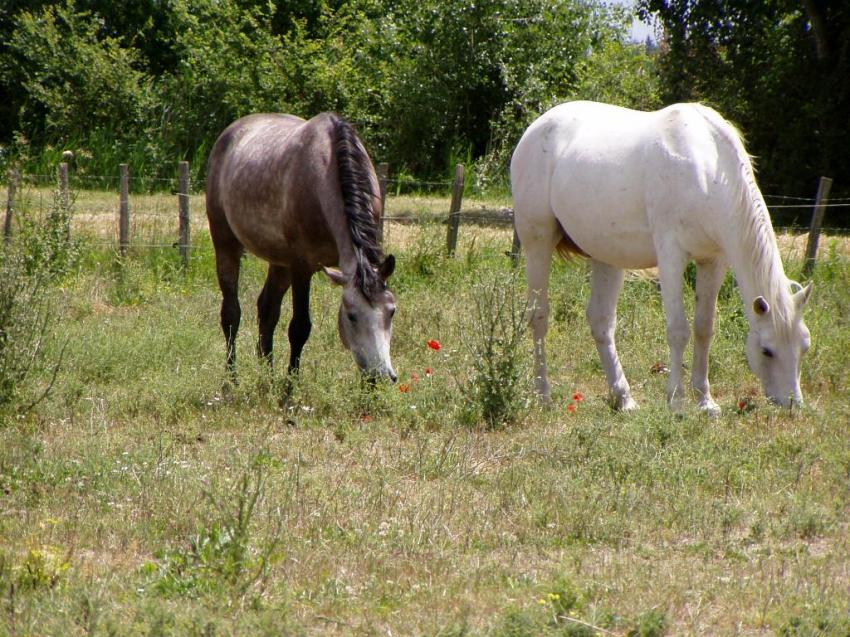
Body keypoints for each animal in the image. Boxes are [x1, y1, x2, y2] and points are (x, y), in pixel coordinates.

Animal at [206, 112, 397, 385]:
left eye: (391, 312)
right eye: (352, 316)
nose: (381, 375)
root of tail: (230, 132)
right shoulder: (302, 267)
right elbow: (299, 328)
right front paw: (289, 390)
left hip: (279, 262)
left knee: (267, 310)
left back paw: (267, 381)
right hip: (226, 244)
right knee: (231, 314)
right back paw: (231, 384)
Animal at [510, 101, 812, 413]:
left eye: (804, 346)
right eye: (767, 350)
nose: (793, 404)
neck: (707, 171)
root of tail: (537, 127)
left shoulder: (713, 262)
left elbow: (704, 328)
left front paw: (705, 401)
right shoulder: (671, 259)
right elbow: (678, 330)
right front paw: (676, 401)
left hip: (607, 256)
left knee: (601, 322)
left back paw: (624, 398)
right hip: (538, 243)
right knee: (538, 316)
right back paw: (543, 395)